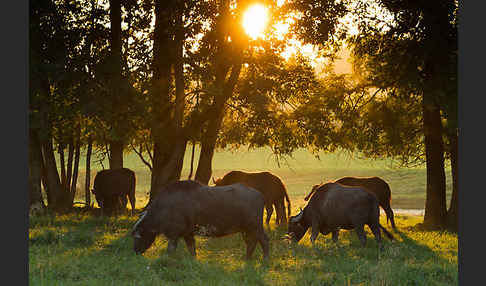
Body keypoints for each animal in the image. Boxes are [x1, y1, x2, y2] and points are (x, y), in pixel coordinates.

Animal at [131, 180, 270, 260]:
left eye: (137, 237)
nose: (135, 252)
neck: (164, 208)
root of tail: (260, 195)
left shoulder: (174, 234)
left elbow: (171, 250)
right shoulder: (187, 234)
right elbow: (192, 249)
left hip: (255, 227)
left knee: (263, 240)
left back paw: (265, 261)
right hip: (248, 229)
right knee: (252, 242)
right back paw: (247, 259)